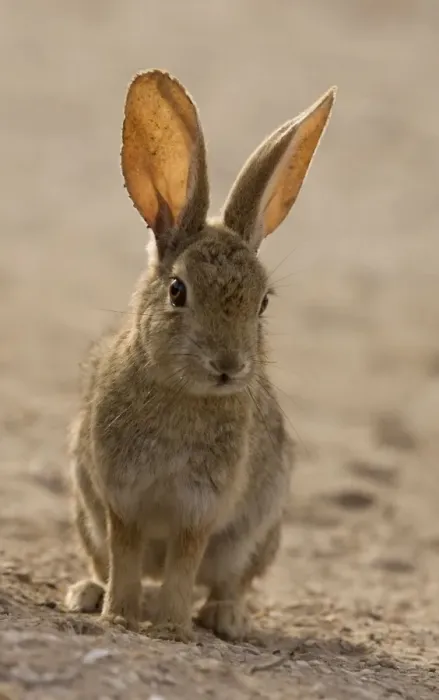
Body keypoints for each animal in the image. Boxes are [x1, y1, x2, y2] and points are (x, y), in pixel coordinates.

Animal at [65, 69, 336, 642]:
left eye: (263, 302)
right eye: (177, 291)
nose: (228, 367)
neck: (181, 393)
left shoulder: (201, 506)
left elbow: (184, 562)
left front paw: (169, 627)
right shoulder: (121, 497)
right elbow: (125, 553)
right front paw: (120, 615)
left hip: (253, 535)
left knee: (227, 581)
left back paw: (226, 618)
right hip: (85, 514)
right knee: (106, 561)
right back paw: (89, 594)